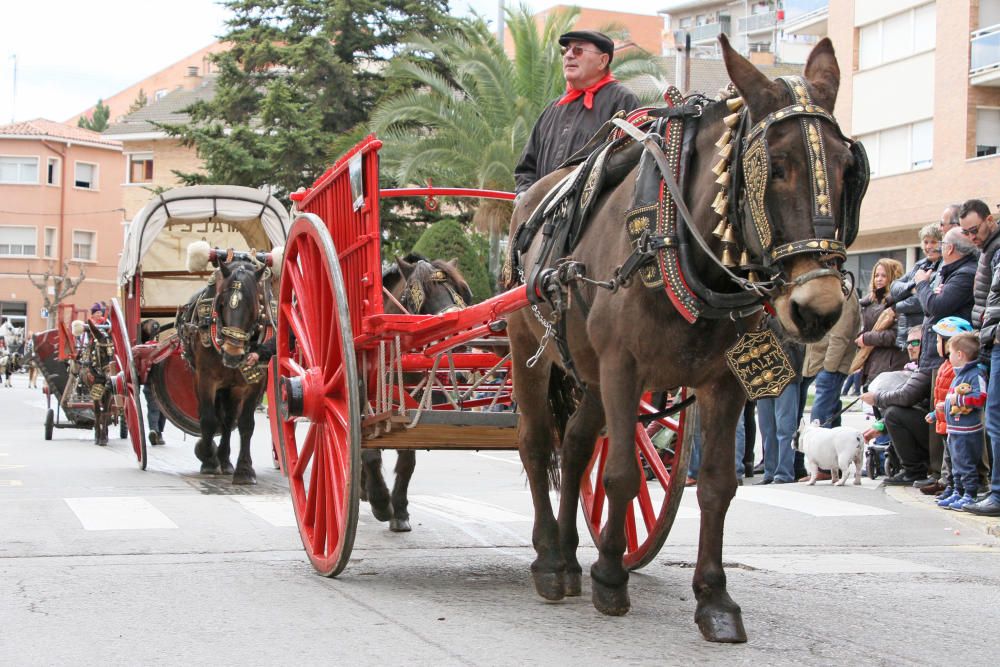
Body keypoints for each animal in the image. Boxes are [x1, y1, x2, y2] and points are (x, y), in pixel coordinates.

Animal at [178, 245, 276, 486]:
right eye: (221, 303)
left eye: (254, 305)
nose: (232, 355)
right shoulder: (206, 378)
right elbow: (208, 419)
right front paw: (208, 459)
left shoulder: (254, 384)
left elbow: (245, 424)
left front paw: (244, 469)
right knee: (215, 418)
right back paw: (214, 457)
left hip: (233, 388)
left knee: (229, 420)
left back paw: (225, 459)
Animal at [362, 254, 474, 532]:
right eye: (423, 296)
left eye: (460, 293)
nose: (460, 342)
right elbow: (369, 452)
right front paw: (381, 502)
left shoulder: (411, 406)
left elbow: (407, 459)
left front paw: (400, 510)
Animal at [508, 37, 868, 640]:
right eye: (775, 166)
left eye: (847, 170)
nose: (817, 310)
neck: (674, 239)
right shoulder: (623, 368)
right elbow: (624, 475)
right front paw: (610, 576)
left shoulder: (726, 383)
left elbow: (718, 484)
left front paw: (714, 598)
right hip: (528, 351)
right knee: (538, 446)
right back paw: (550, 561)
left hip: (588, 371)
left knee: (578, 445)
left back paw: (568, 553)